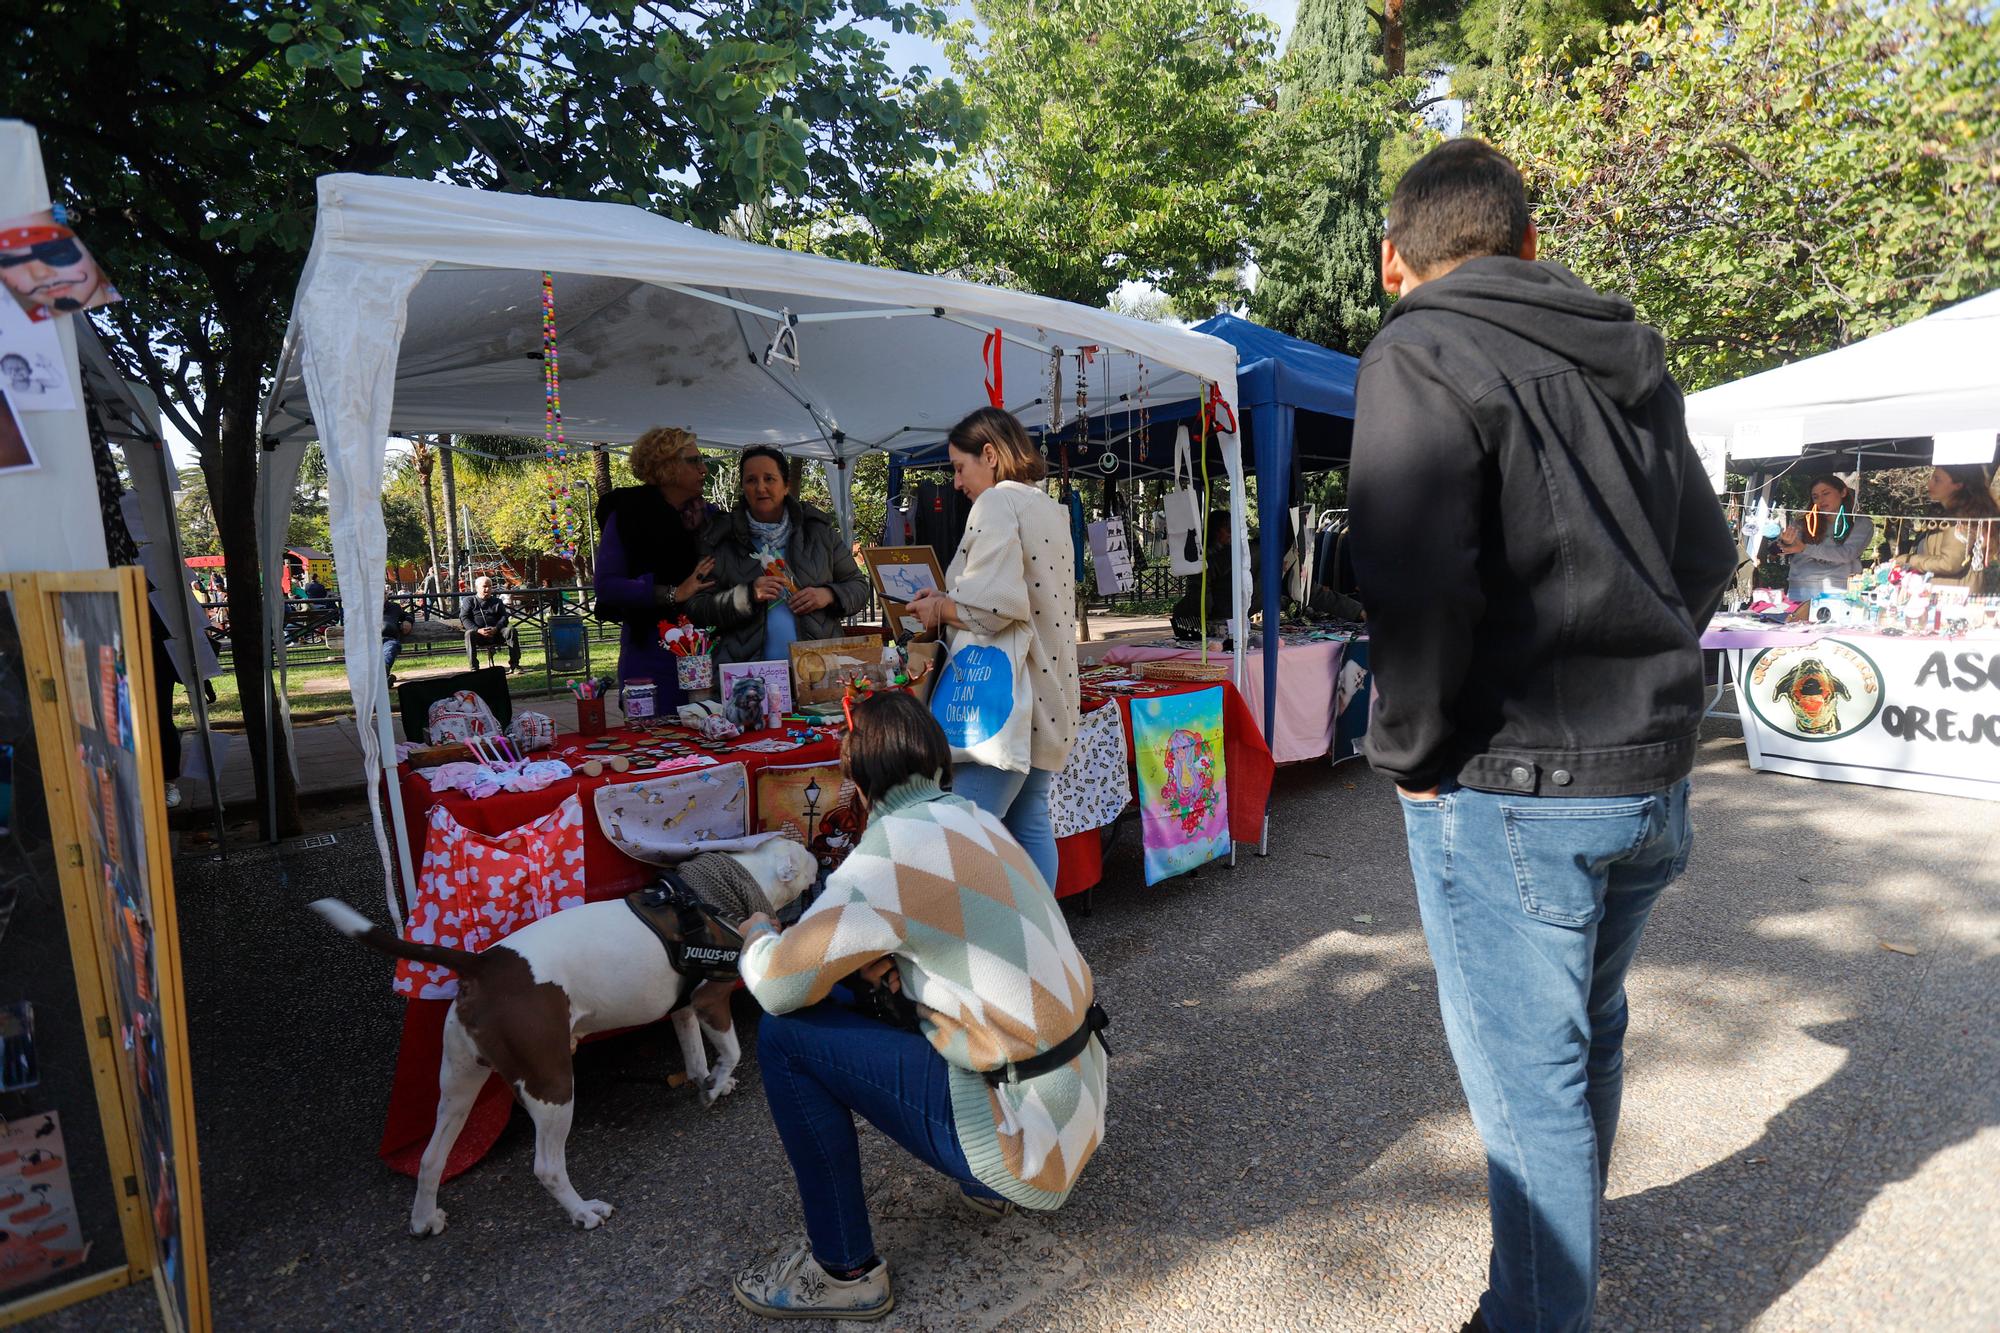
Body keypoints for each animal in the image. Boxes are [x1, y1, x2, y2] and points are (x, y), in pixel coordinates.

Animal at [312, 836, 812, 1232]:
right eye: (805, 853)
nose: (817, 853)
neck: (720, 893)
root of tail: (481, 965)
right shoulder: (711, 999)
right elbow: (731, 1049)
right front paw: (715, 1086)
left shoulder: (685, 1008)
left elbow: (694, 1055)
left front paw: (708, 1082)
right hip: (551, 1083)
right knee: (547, 1166)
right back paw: (583, 1211)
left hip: (459, 1081)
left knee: (432, 1157)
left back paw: (423, 1219)